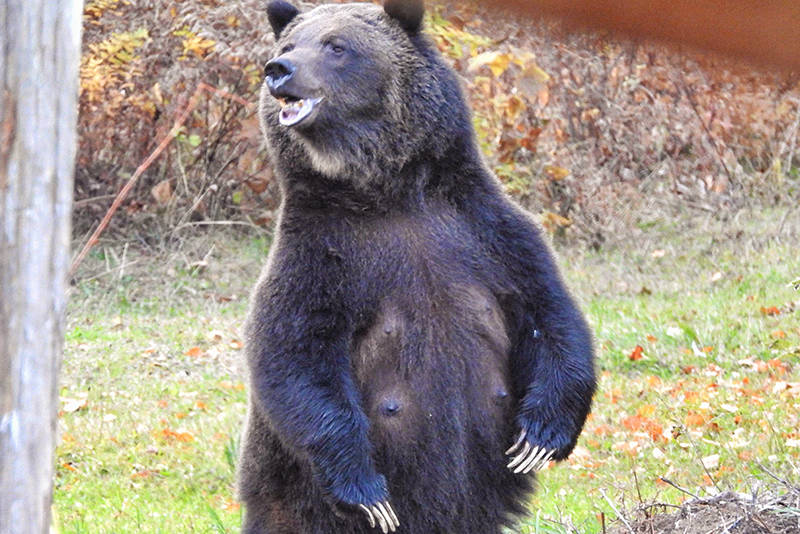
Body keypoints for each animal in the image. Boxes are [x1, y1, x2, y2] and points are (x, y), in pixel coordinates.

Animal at [237, 1, 596, 533]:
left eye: (336, 45)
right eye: (290, 44)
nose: (278, 70)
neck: (390, 193)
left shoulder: (486, 232)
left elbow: (549, 314)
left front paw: (540, 436)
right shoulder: (322, 256)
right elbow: (296, 355)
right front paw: (366, 492)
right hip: (286, 492)